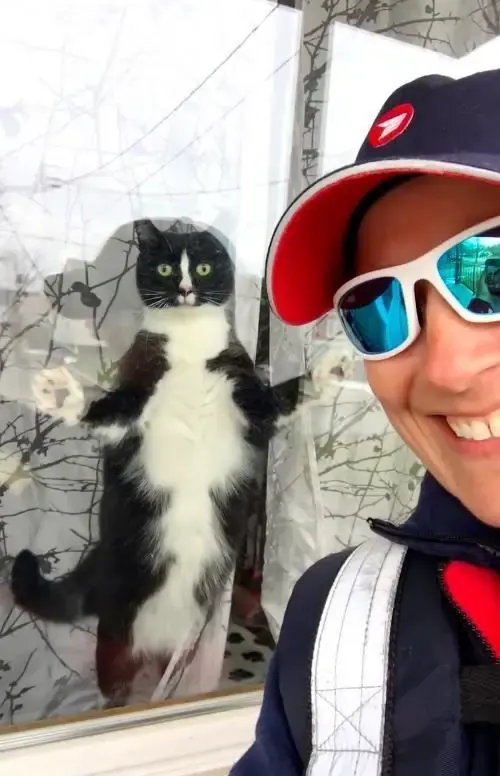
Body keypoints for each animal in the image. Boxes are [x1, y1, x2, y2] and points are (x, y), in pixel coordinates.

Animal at [9, 217, 294, 668]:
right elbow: (103, 411)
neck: (189, 342)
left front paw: (333, 369)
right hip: (121, 618)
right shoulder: (135, 390)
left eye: (203, 269)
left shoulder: (248, 397)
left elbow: (281, 401)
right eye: (164, 269)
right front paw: (61, 389)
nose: (185, 289)